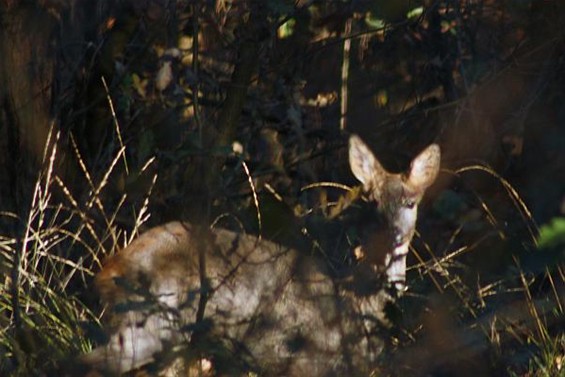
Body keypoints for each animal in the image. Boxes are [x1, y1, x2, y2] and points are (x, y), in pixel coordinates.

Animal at [80, 136, 440, 376]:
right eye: (371, 201)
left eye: (410, 202)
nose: (392, 236)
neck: (360, 302)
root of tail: (108, 271)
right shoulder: (304, 360)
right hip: (149, 323)